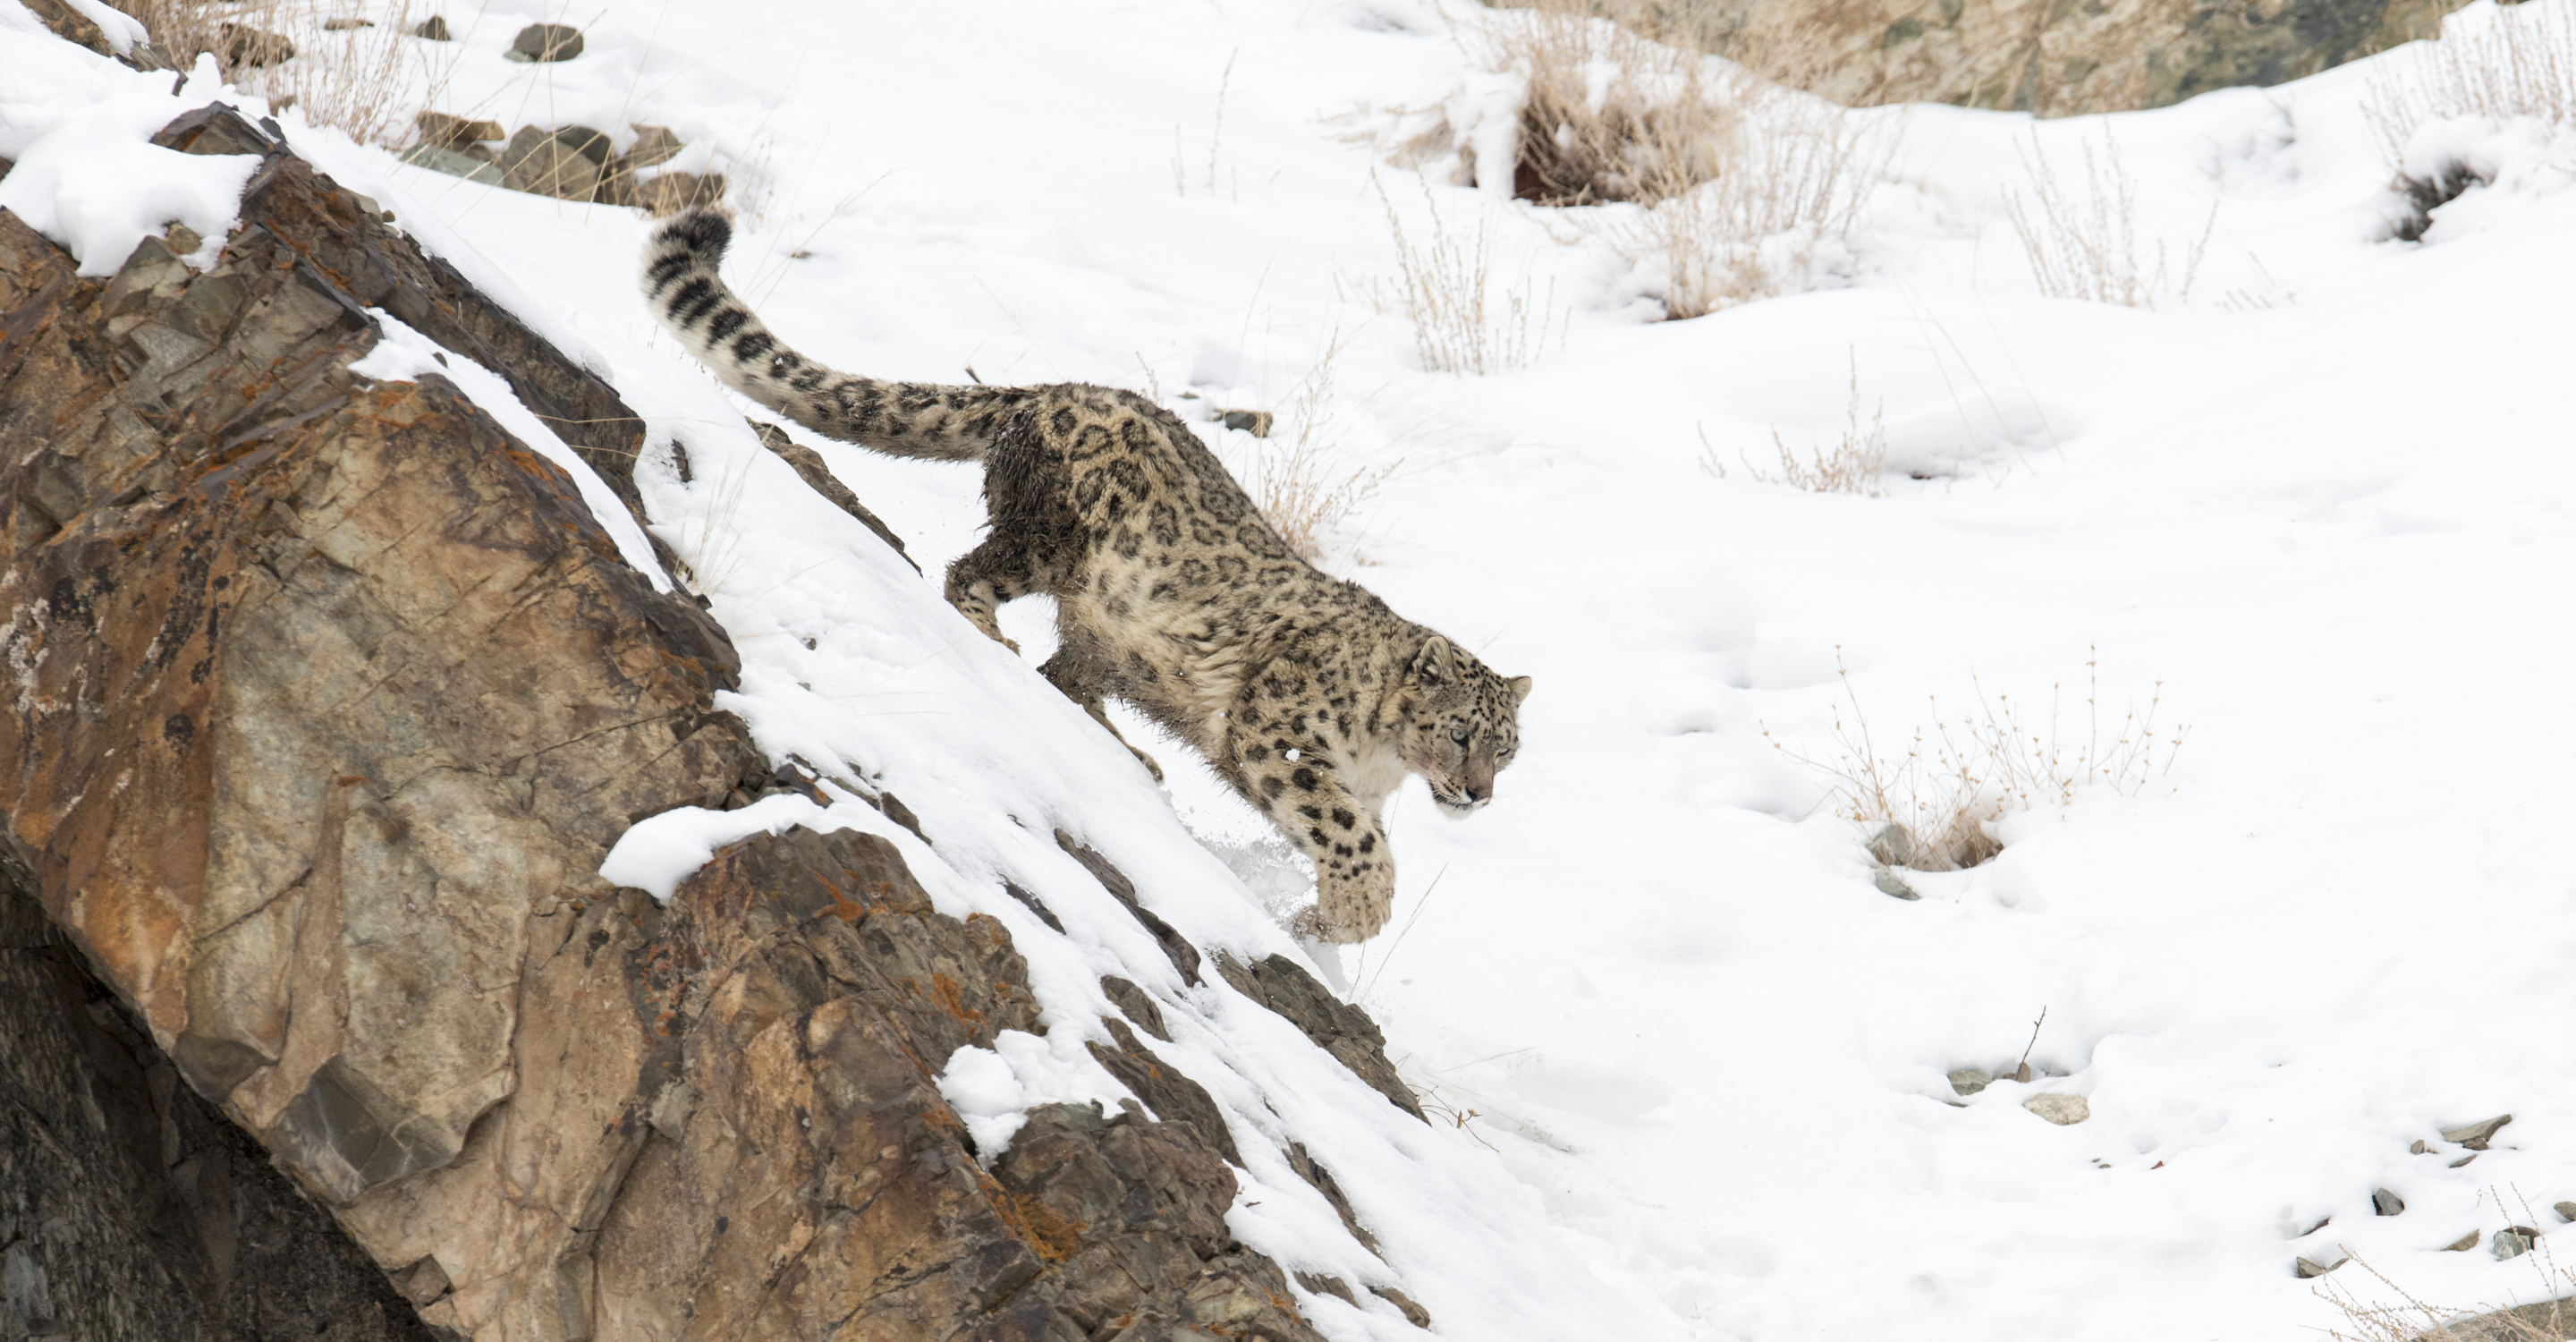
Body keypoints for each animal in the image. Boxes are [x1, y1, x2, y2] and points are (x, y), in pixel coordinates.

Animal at [641, 209, 1530, 942]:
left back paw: (1132, 753)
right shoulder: (1280, 733)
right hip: (1052, 540)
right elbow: (1352, 832)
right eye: (1460, 732)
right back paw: (996, 641)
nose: (1478, 794)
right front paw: (1354, 914)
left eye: (1507, 749)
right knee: (972, 578)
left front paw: (1322, 919)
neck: (1384, 760)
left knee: (1067, 670)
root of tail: (1050, 391)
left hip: (1107, 633)